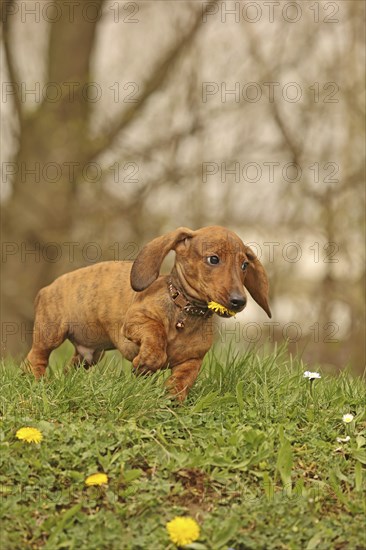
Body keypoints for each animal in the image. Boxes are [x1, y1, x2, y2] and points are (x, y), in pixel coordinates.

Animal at [26, 226, 272, 404]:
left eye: (244, 265)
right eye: (213, 259)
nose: (239, 302)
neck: (184, 312)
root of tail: (45, 289)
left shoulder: (192, 360)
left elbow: (181, 381)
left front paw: (173, 400)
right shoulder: (135, 322)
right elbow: (156, 334)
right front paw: (146, 362)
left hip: (89, 356)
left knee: (70, 368)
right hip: (51, 334)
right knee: (35, 358)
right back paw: (38, 381)